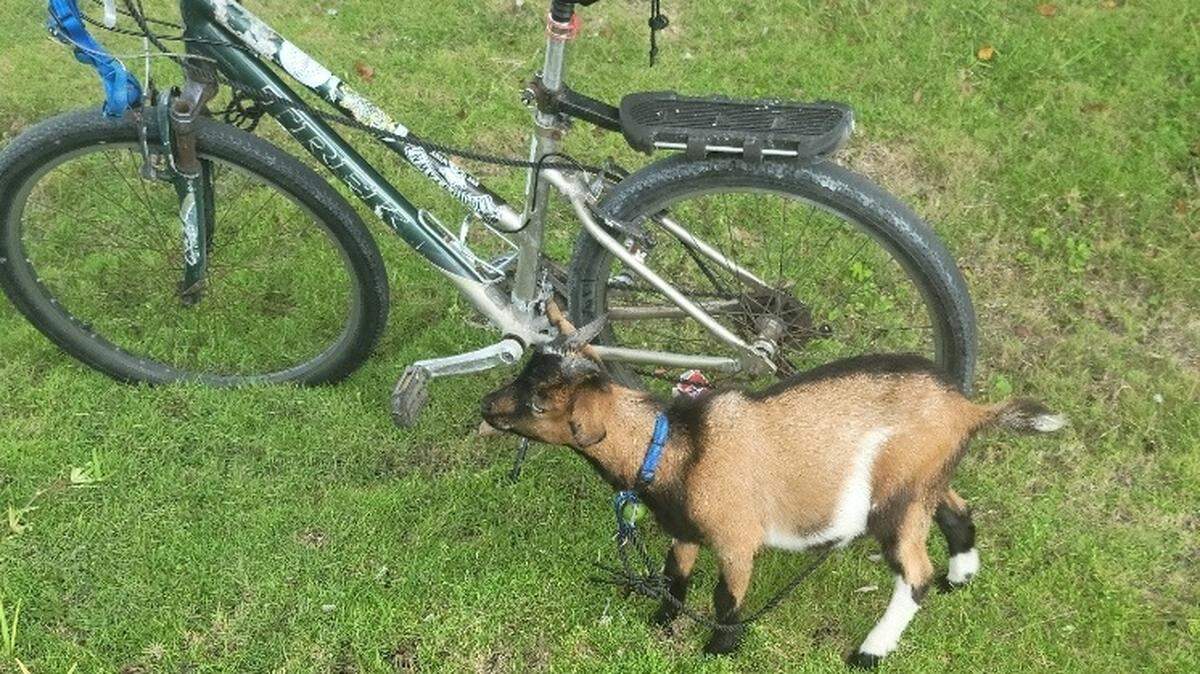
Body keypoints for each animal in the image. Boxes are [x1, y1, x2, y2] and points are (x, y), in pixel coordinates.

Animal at [479, 311, 1066, 667]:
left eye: (540, 400)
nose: (487, 406)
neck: (672, 445)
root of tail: (968, 409)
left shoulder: (736, 537)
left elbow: (727, 597)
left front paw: (718, 649)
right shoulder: (684, 529)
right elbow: (674, 573)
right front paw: (660, 620)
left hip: (898, 505)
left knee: (914, 574)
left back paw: (869, 653)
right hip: (920, 479)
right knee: (956, 509)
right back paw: (961, 575)